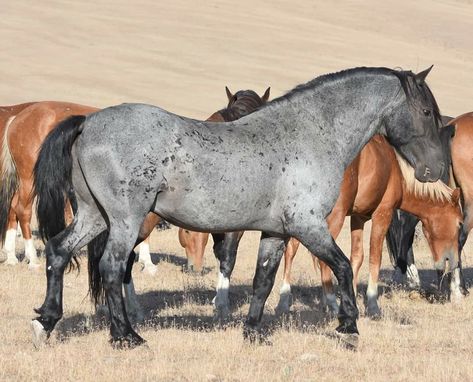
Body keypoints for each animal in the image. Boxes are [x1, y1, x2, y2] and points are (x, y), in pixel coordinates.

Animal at [274, 133, 460, 318]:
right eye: (459, 223)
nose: (451, 260)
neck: (397, 171)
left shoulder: (358, 218)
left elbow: (356, 258)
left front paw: (352, 300)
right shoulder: (382, 215)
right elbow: (375, 257)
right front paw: (372, 305)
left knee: (290, 251)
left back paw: (284, 302)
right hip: (333, 218)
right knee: (321, 259)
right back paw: (331, 304)